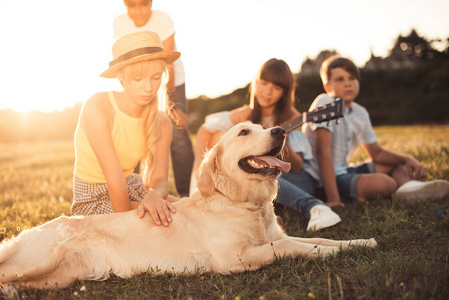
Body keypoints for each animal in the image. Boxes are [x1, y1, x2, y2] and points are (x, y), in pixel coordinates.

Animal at [0, 123, 376, 290]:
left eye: (262, 126)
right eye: (244, 131)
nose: (280, 129)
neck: (243, 203)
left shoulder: (271, 236)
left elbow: (319, 240)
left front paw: (361, 242)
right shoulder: (231, 258)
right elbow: (289, 248)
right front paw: (328, 252)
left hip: (56, 277)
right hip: (39, 259)